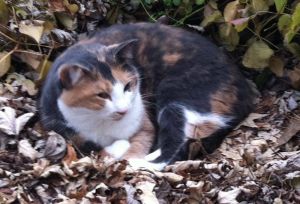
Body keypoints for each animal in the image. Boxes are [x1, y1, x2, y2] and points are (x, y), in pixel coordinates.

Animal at [39, 22, 254, 170]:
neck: (101, 123)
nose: (124, 110)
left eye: (128, 86)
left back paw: (145, 163)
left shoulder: (146, 127)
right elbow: (87, 144)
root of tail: (246, 91)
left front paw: (125, 153)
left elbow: (133, 147)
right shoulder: (60, 126)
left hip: (175, 93)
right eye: (101, 95)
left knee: (176, 145)